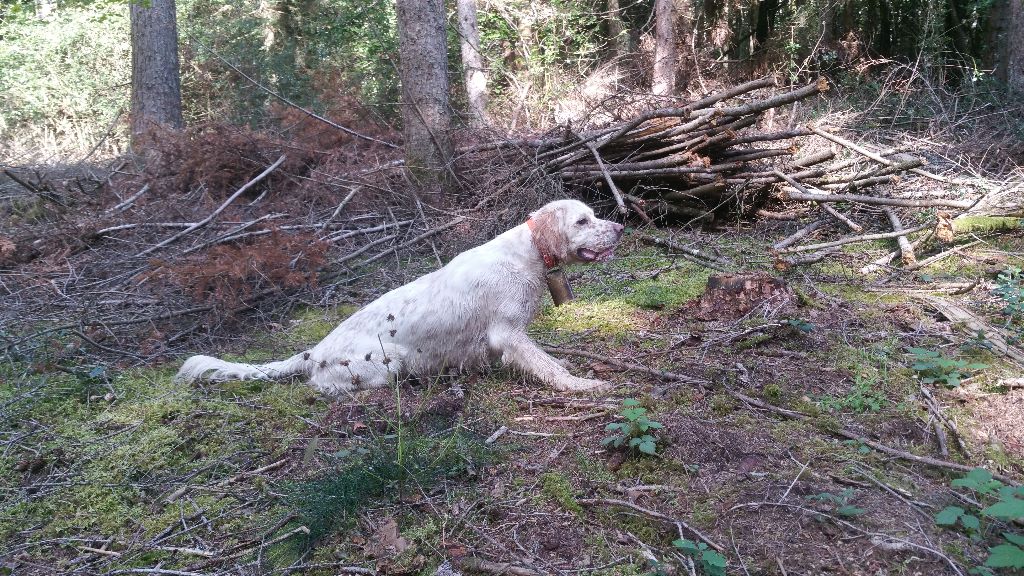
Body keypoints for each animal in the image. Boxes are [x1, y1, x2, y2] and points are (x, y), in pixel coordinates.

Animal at [176, 199, 622, 391]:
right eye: (582, 221)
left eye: (595, 216)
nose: (619, 227)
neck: (528, 254)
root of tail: (313, 352)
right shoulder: (507, 333)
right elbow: (548, 367)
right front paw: (584, 386)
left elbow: (546, 357)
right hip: (389, 362)